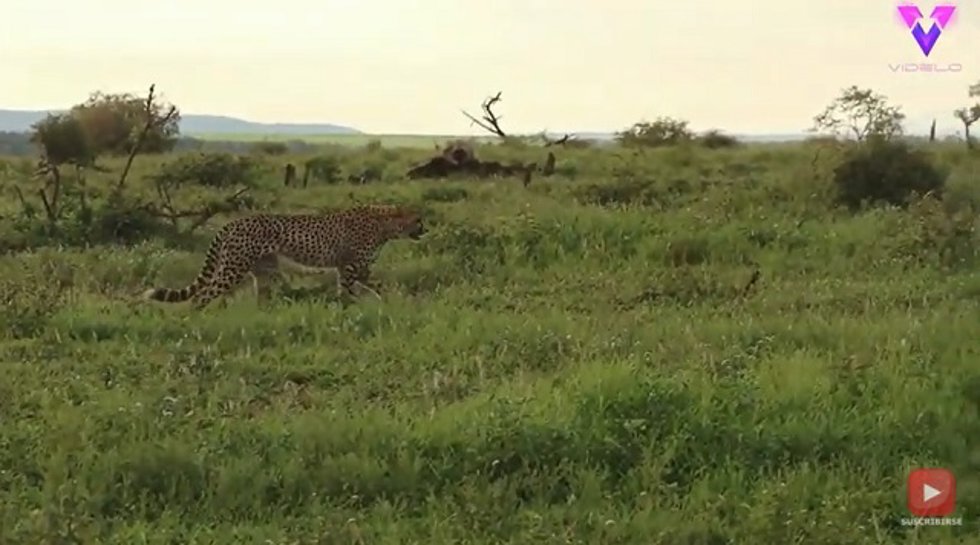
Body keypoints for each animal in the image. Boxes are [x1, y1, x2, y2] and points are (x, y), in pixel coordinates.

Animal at [143, 204, 426, 309]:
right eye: (418, 220)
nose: (426, 229)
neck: (386, 225)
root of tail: (233, 222)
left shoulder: (356, 268)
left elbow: (378, 285)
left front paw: (395, 301)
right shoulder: (350, 267)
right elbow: (348, 291)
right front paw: (348, 308)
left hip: (263, 269)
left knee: (261, 295)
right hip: (233, 267)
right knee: (202, 294)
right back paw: (194, 319)